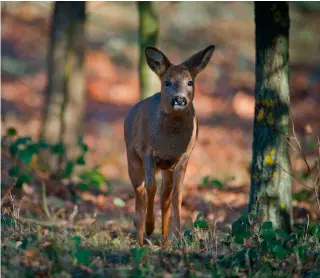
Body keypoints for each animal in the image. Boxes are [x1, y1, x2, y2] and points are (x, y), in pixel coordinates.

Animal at [124, 44, 216, 245]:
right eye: (167, 82)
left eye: (190, 82)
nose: (180, 99)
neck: (169, 142)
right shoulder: (148, 151)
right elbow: (150, 188)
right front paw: (150, 226)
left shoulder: (184, 156)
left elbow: (177, 194)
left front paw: (179, 237)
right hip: (132, 157)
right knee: (140, 191)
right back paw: (140, 236)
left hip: (166, 167)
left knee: (164, 194)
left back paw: (165, 240)